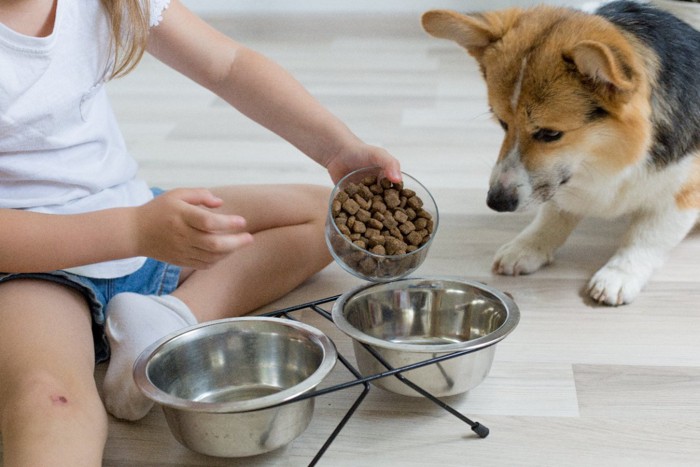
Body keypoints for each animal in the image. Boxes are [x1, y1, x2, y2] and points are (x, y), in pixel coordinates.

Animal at [422, 0, 700, 306]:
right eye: (502, 123)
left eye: (550, 134)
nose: (496, 202)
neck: (609, 158)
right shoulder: (560, 182)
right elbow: (553, 214)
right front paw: (527, 247)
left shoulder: (682, 194)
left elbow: (646, 237)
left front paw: (619, 275)